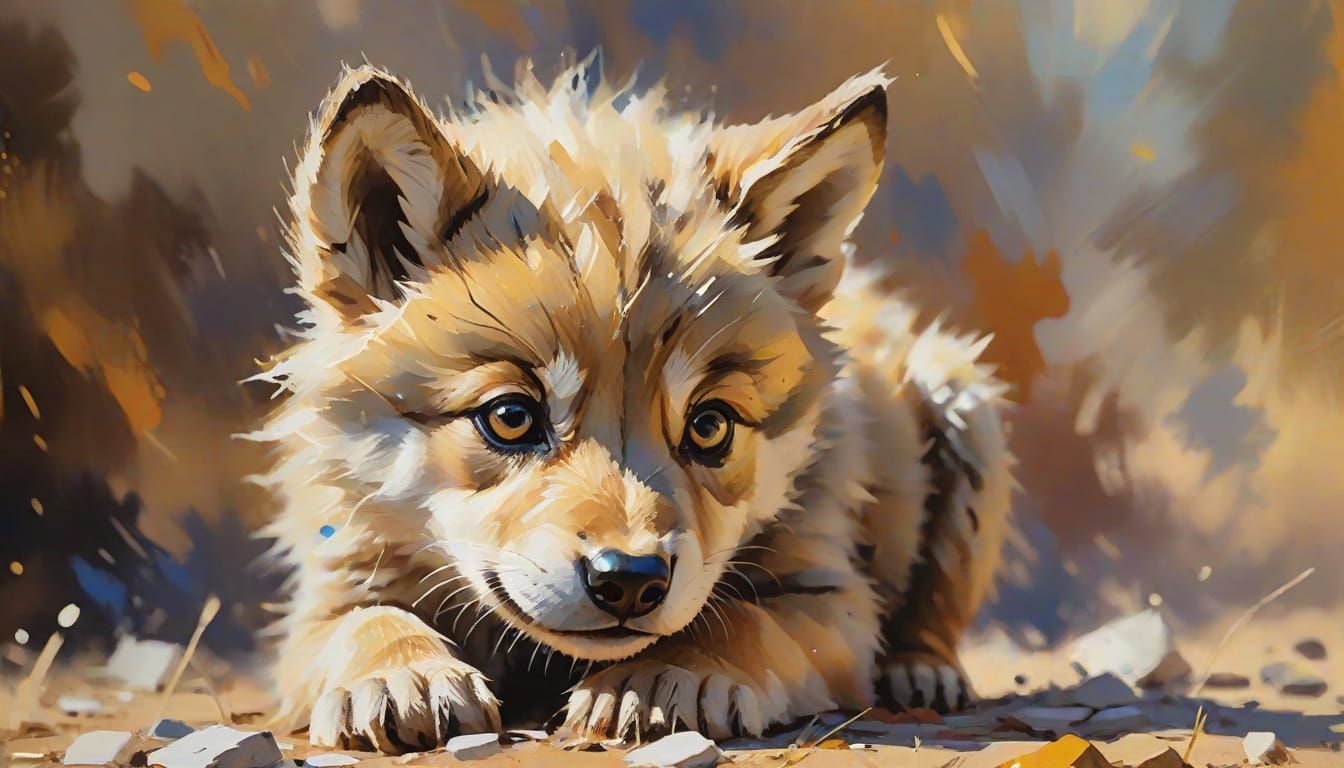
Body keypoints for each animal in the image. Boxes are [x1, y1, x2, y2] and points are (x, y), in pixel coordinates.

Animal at [251, 57, 1013, 752]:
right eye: (511, 417)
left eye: (709, 426)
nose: (629, 582)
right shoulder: (332, 589)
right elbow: (364, 624)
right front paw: (402, 675)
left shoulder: (832, 596)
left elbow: (742, 621)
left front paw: (660, 678)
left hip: (964, 405)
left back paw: (922, 672)